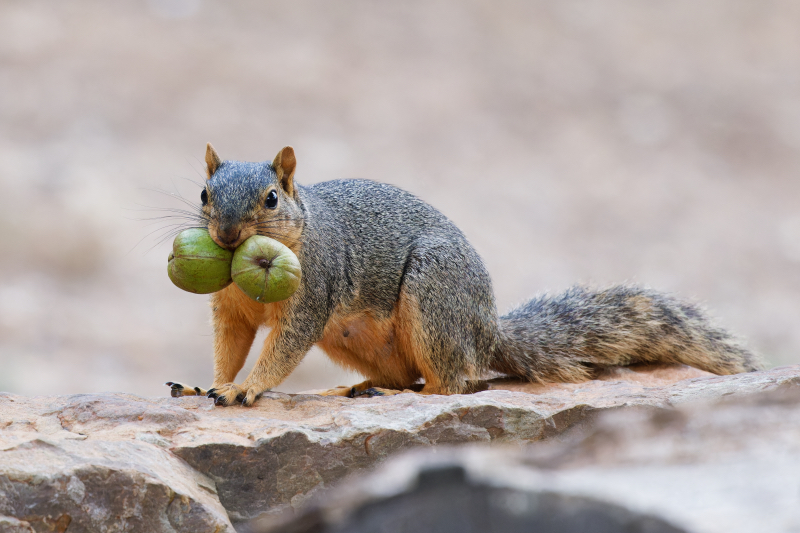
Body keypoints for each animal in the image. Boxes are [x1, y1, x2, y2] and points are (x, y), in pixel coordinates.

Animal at [166, 143, 760, 406]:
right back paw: (357, 388)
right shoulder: (229, 310)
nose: (226, 235)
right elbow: (230, 346)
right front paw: (210, 382)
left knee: (454, 382)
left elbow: (283, 347)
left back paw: (412, 393)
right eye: (205, 195)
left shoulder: (315, 292)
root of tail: (486, 330)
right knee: (405, 374)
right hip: (356, 337)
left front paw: (248, 389)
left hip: (433, 296)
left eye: (271, 198)